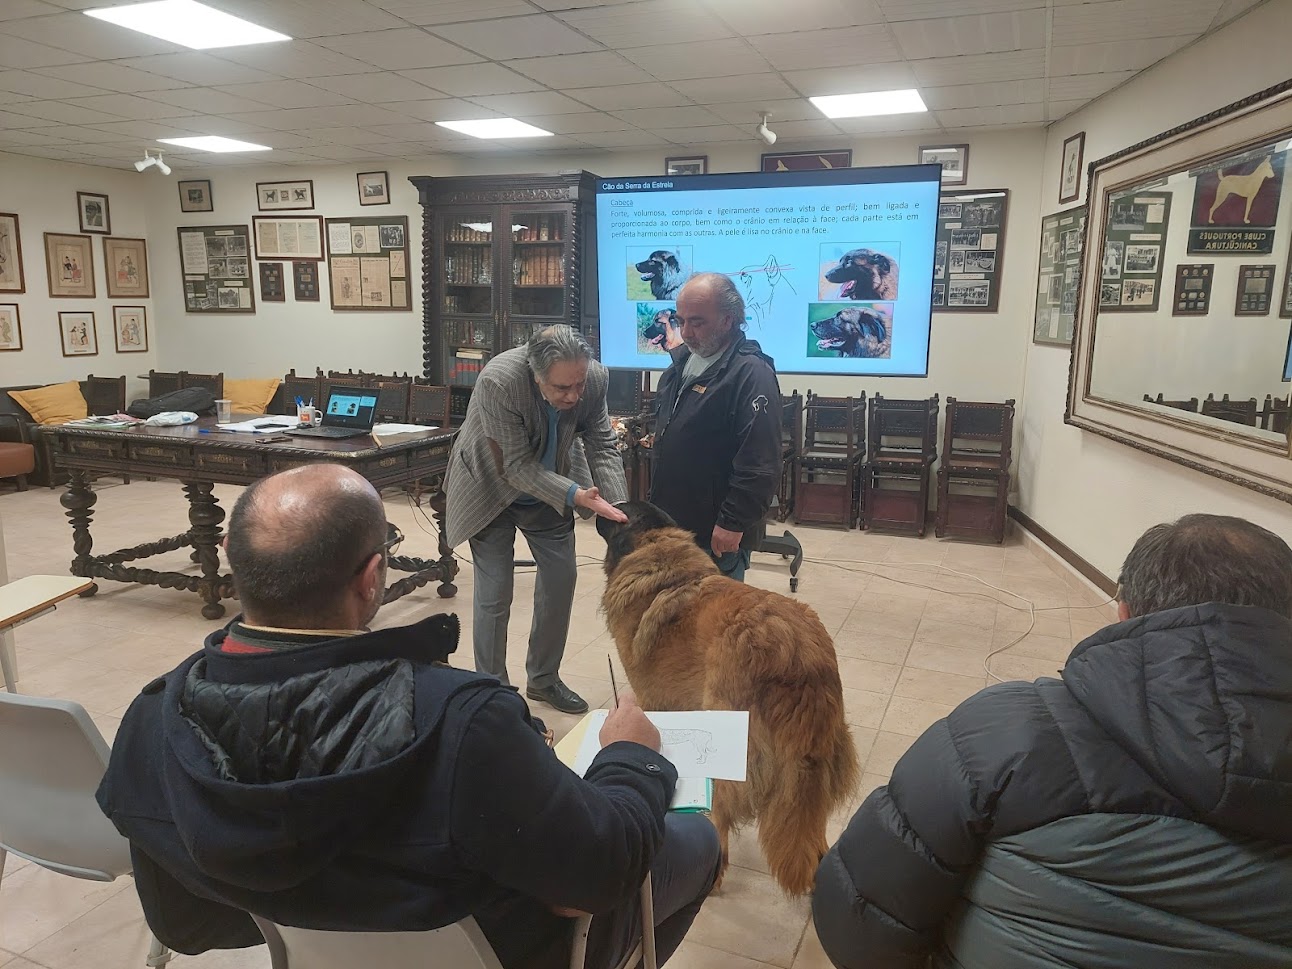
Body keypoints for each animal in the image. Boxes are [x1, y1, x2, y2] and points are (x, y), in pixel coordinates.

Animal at [594, 503, 857, 899]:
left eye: (619, 510)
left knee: (720, 817)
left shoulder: (652, 696)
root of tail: (800, 653)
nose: (593, 507)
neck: (656, 547)